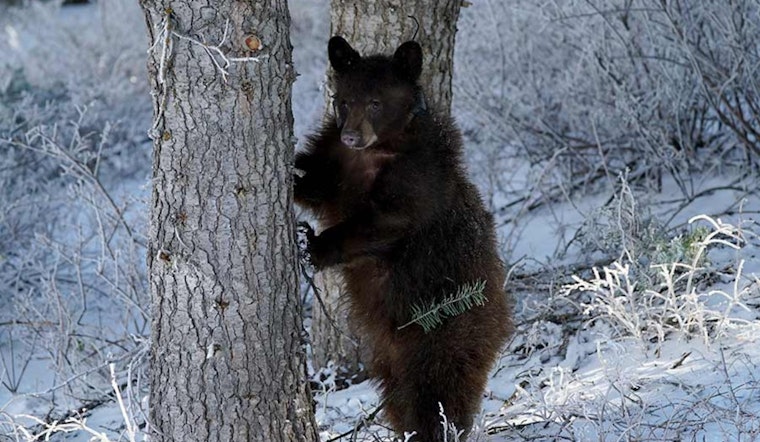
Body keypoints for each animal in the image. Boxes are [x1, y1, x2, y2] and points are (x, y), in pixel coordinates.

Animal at [295, 36, 514, 441]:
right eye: (343, 100)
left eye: (376, 102)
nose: (352, 135)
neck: (376, 151)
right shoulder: (336, 159)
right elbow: (317, 183)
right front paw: (293, 175)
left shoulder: (417, 176)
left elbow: (385, 221)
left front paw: (312, 245)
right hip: (387, 356)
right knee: (398, 395)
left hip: (443, 330)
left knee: (438, 391)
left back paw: (439, 429)